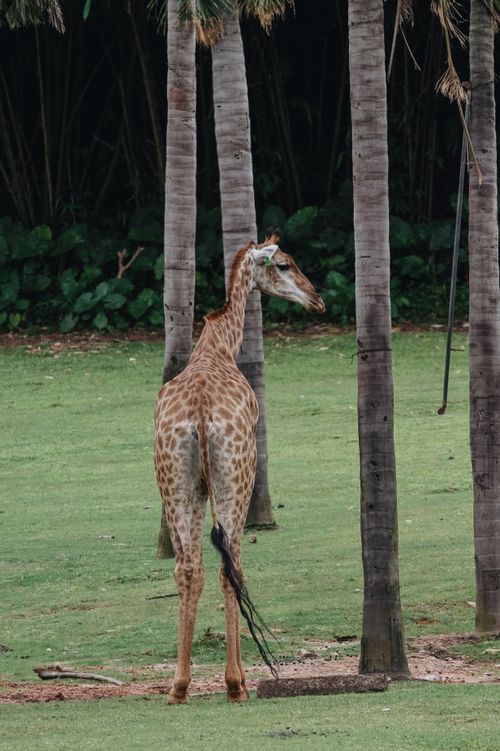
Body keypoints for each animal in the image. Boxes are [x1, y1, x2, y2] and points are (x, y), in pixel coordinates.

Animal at [154, 241, 324, 704]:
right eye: (284, 264)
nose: (316, 299)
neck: (218, 346)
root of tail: (198, 415)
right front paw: (239, 680)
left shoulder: (194, 486)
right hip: (237, 475)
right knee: (230, 564)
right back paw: (236, 683)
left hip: (173, 480)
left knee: (188, 566)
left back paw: (178, 686)